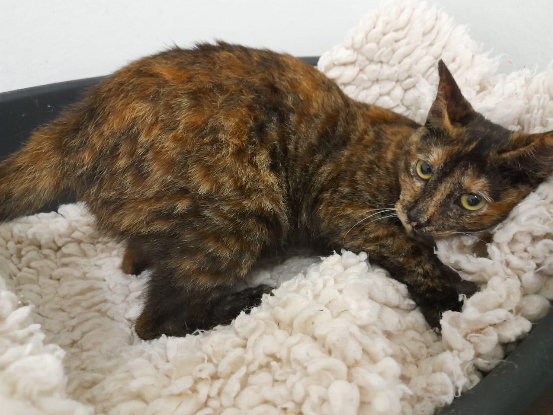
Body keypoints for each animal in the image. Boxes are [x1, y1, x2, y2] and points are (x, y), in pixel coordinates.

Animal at [1, 42, 551, 340]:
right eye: (423, 169)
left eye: (470, 200)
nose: (418, 215)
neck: (396, 158)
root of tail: (77, 124)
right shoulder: (346, 210)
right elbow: (411, 252)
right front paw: (455, 302)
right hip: (245, 209)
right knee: (155, 320)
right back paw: (246, 301)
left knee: (137, 259)